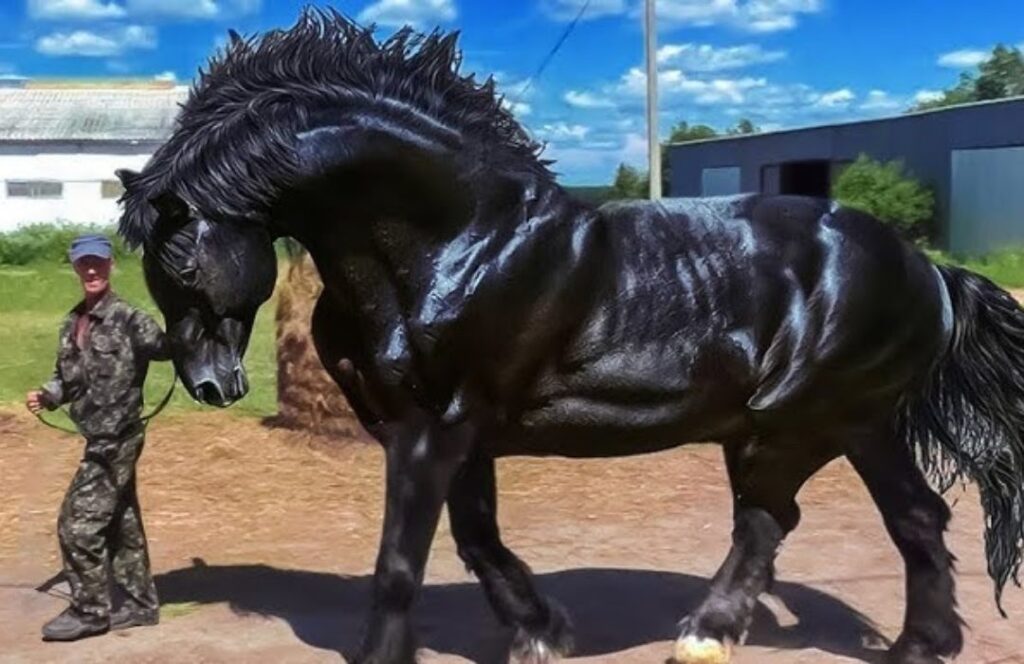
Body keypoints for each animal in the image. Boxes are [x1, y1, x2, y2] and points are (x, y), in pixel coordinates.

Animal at [115, 10, 1024, 664]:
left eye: (181, 260)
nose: (210, 385)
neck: (455, 242)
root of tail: (928, 270)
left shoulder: (433, 428)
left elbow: (402, 561)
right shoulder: (458, 433)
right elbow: (477, 539)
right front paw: (542, 630)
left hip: (800, 424)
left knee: (780, 520)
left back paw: (719, 633)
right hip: (849, 424)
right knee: (908, 520)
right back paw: (907, 646)